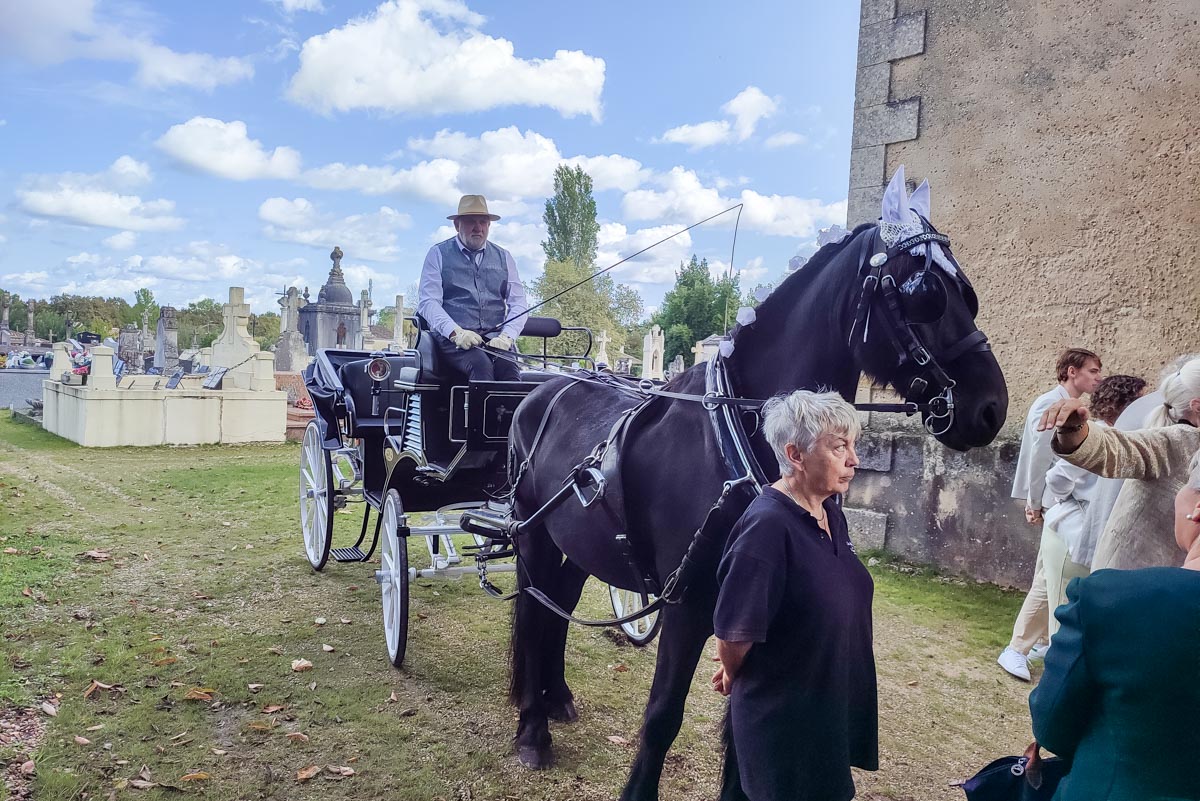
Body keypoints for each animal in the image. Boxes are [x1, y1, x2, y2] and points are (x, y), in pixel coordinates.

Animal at [504, 168, 1009, 800]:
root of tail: (547, 387)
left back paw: (556, 700)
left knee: (557, 610)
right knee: (533, 612)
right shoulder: (690, 604)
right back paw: (532, 729)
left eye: (968, 291)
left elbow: (737, 737)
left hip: (575, 542)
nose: (992, 406)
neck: (747, 431)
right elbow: (663, 716)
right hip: (531, 536)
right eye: (926, 294)